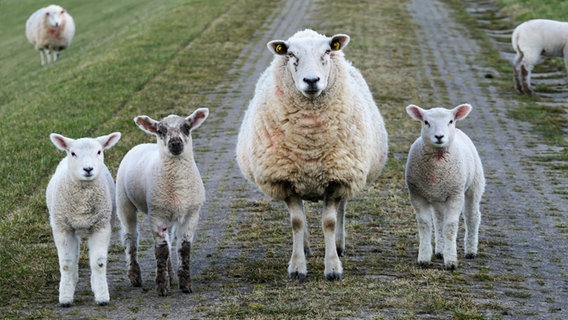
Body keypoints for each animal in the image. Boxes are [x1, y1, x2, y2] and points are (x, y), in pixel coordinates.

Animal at [46, 131, 121, 306]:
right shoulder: (62, 228)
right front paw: (65, 298)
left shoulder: (101, 226)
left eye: (99, 152)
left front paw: (102, 296)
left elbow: (99, 263)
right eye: (73, 153)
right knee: (74, 257)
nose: (88, 169)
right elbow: (67, 264)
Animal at [116, 108, 210, 298]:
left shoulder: (191, 214)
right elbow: (161, 250)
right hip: (124, 202)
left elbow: (183, 249)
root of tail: (140, 144)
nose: (175, 143)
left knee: (170, 241)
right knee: (130, 237)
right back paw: (135, 275)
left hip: (171, 212)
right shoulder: (157, 214)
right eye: (161, 130)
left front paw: (185, 285)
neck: (178, 185)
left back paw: (171, 275)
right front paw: (161, 287)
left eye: (186, 127)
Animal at [233, 28, 388, 282]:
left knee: (342, 209)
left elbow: (330, 222)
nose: (312, 81)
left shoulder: (338, 178)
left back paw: (339, 245)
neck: (310, 143)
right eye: (291, 55)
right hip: (301, 179)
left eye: (326, 52)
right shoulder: (285, 180)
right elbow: (297, 222)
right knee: (303, 216)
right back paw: (305, 247)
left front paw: (333, 267)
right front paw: (297, 267)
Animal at [404, 104, 484, 272]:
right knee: (439, 220)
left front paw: (451, 261)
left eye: (450, 121)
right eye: (426, 122)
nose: (439, 137)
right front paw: (424, 258)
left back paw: (471, 251)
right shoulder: (417, 195)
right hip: (437, 197)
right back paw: (440, 251)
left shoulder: (455, 195)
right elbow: (425, 224)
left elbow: (450, 227)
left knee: (472, 216)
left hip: (474, 185)